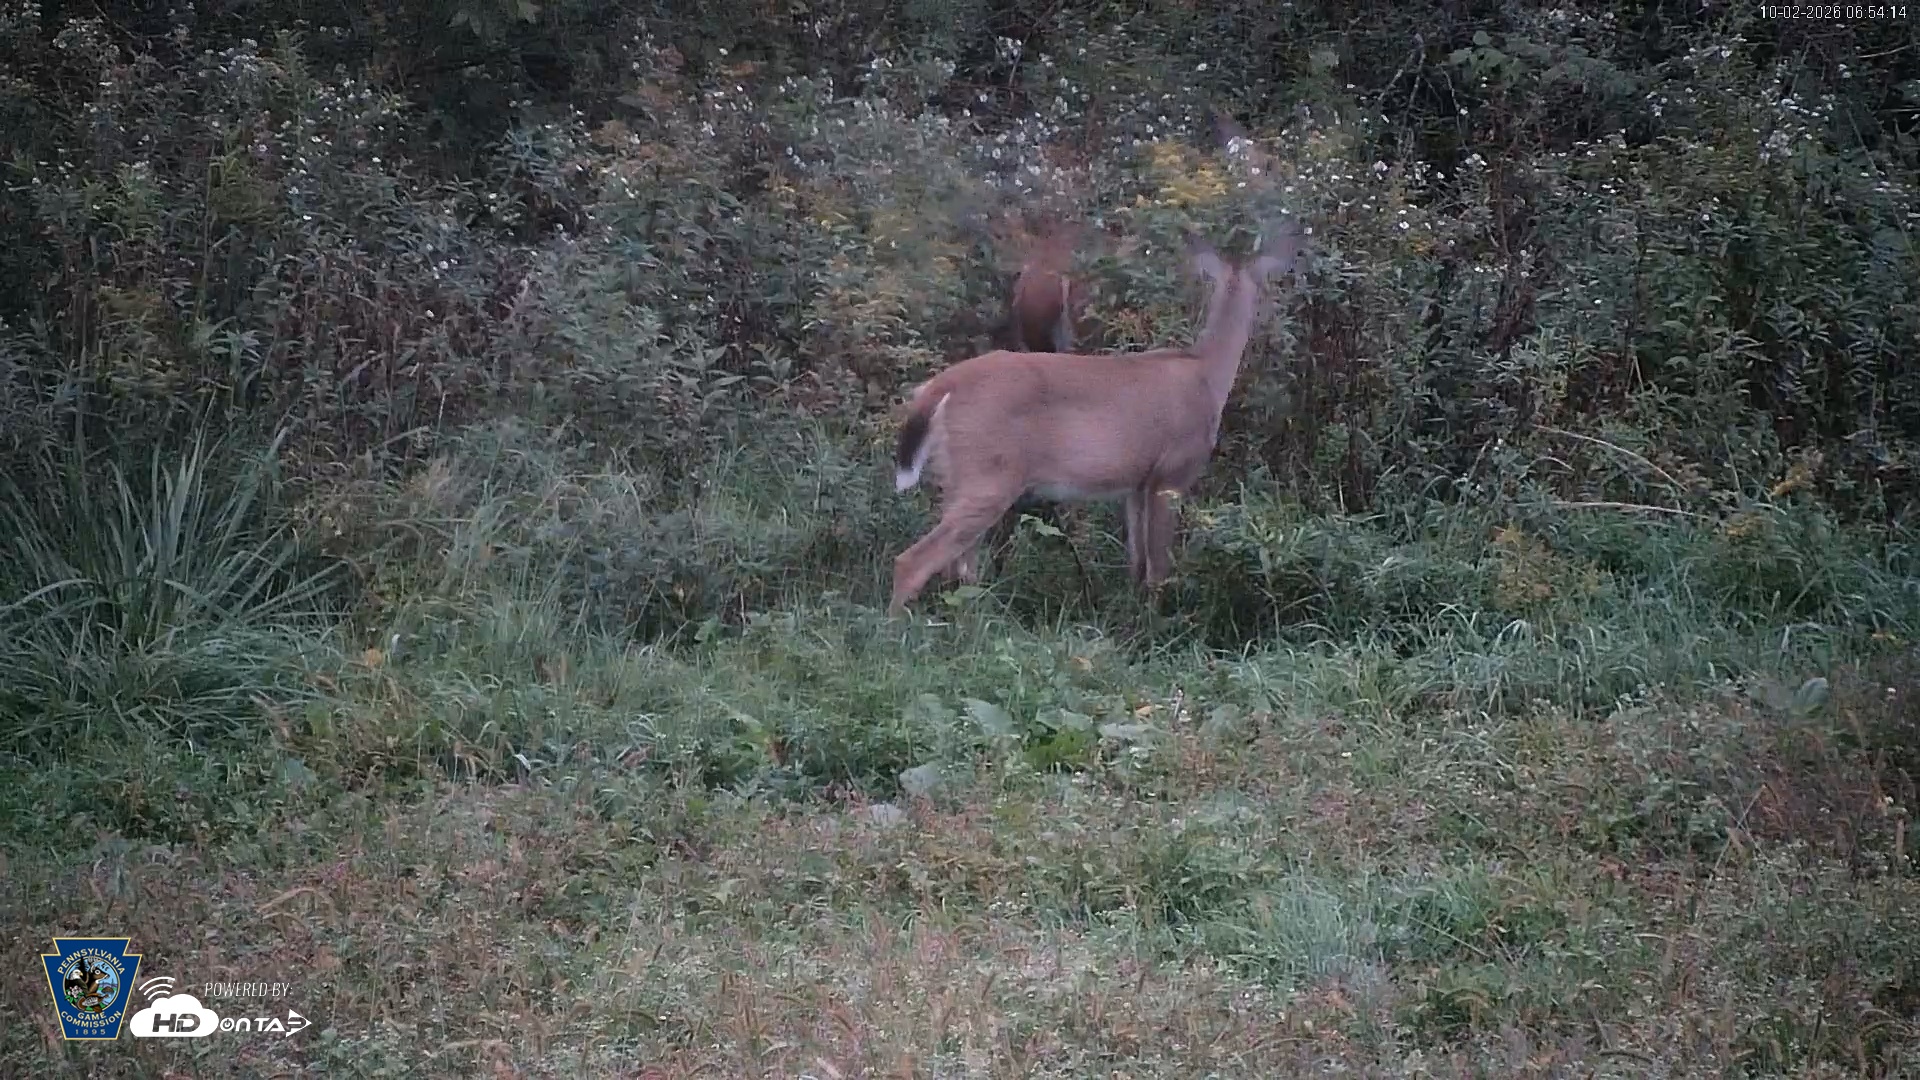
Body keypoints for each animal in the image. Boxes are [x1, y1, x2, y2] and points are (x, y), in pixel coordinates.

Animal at [887, 220, 1305, 616]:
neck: (1206, 374)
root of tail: (940, 386)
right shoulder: (1172, 473)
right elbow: (1158, 569)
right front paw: (1154, 627)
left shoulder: (1137, 483)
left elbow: (1137, 562)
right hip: (988, 474)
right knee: (913, 561)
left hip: (956, 477)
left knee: (959, 568)